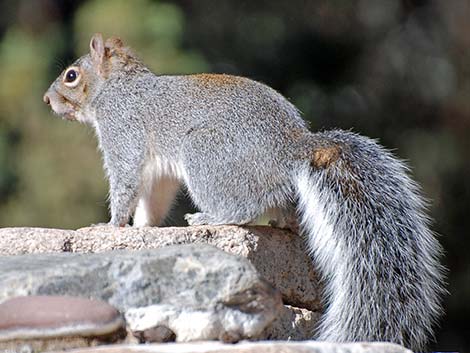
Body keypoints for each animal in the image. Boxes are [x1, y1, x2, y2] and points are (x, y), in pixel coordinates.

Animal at [43, 33, 444, 350]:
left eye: (71, 76)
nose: (47, 100)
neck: (117, 87)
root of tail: (292, 150)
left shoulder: (123, 132)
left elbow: (125, 182)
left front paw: (110, 226)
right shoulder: (158, 173)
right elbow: (151, 200)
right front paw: (142, 228)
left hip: (205, 153)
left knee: (242, 209)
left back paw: (209, 217)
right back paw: (283, 224)